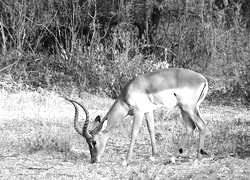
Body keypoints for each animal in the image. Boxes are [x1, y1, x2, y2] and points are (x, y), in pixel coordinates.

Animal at [65, 68, 208, 166]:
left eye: (93, 141)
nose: (93, 160)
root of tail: (203, 79)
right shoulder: (148, 111)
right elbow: (151, 129)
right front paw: (153, 156)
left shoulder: (138, 112)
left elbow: (133, 133)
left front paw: (126, 161)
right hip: (185, 109)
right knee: (190, 127)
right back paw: (172, 158)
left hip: (188, 108)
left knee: (201, 125)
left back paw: (197, 159)